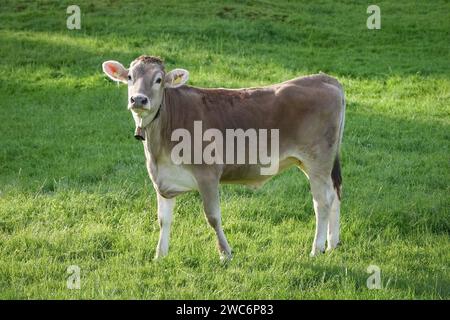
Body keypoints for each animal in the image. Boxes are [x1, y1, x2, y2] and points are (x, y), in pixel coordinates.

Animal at [103, 56, 346, 262]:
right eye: (130, 77)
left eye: (159, 79)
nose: (138, 99)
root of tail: (324, 78)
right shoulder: (162, 179)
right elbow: (163, 219)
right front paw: (159, 256)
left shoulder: (208, 174)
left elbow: (212, 216)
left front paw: (225, 253)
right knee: (335, 194)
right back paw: (332, 244)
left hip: (317, 161)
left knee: (322, 201)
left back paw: (316, 249)